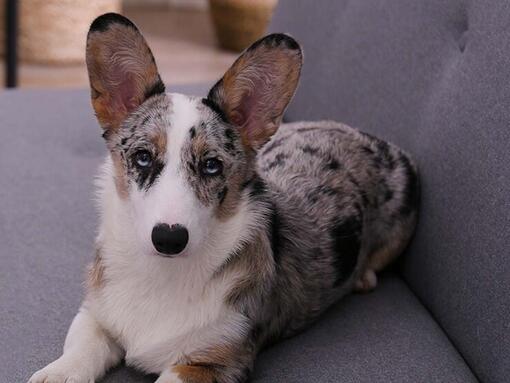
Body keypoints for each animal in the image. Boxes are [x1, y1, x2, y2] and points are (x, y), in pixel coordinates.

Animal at [27, 12, 418, 383]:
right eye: (142, 157)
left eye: (212, 165)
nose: (169, 238)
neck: (162, 274)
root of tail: (367, 136)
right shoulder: (96, 313)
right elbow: (82, 347)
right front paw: (58, 373)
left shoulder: (213, 361)